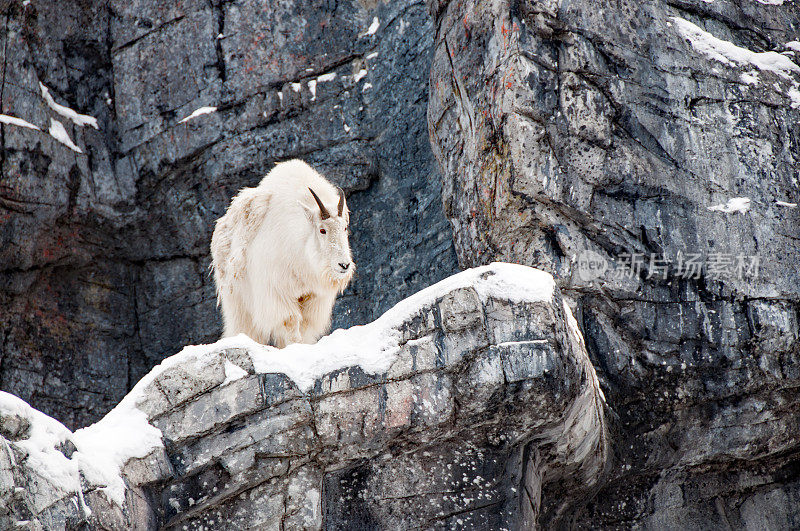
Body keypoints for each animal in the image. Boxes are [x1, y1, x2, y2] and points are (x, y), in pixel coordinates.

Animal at [209, 158, 354, 350]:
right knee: (244, 326)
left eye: (344, 227)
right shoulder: (277, 292)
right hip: (237, 299)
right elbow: (291, 323)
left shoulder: (313, 297)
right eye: (322, 230)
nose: (343, 265)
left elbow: (305, 325)